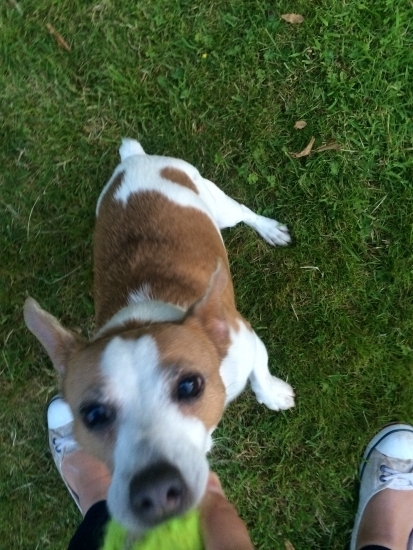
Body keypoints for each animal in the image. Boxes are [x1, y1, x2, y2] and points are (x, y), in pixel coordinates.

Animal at [23, 139, 292, 540]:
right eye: (92, 415)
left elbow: (261, 378)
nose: (154, 490)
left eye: (190, 386)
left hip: (215, 201)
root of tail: (134, 159)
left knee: (242, 212)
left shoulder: (246, 342)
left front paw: (274, 395)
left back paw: (269, 229)